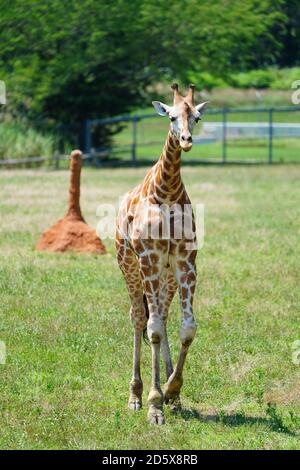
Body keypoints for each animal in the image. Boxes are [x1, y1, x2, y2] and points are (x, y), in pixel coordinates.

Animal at [116, 84, 207, 426]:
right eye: (170, 116)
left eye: (195, 117)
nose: (186, 141)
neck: (166, 191)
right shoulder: (149, 259)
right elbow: (152, 330)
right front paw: (154, 404)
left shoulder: (185, 261)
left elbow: (187, 327)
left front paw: (172, 389)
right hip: (130, 266)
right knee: (139, 318)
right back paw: (135, 397)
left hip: (166, 276)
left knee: (163, 318)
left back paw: (173, 397)